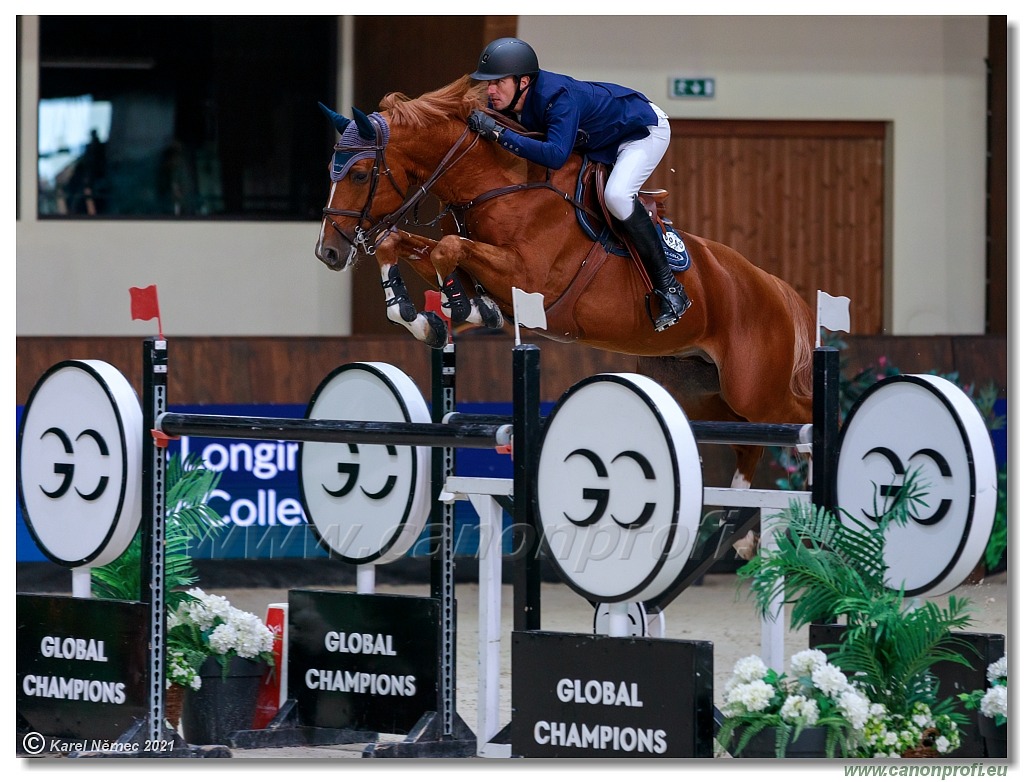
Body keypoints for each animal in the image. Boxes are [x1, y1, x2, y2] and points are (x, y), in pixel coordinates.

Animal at [311, 76, 815, 507]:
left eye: (359, 175)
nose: (328, 252)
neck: (499, 186)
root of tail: (773, 286)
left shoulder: (530, 279)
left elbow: (447, 248)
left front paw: (463, 308)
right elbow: (409, 245)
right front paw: (428, 316)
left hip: (754, 388)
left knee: (799, 416)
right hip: (697, 386)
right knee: (746, 438)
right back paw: (745, 525)